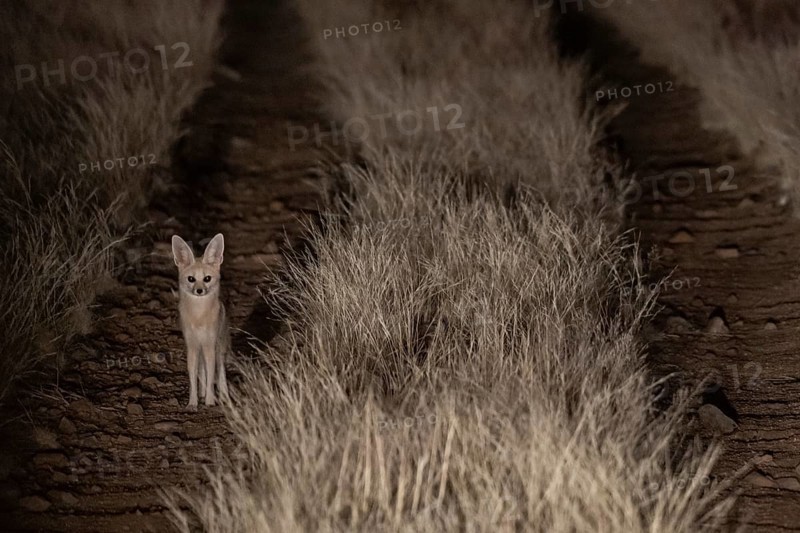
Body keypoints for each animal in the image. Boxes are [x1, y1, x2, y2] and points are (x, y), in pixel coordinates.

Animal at [171, 233, 230, 410]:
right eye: (191, 279)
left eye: (207, 278)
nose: (199, 290)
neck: (199, 316)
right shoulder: (192, 345)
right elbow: (193, 377)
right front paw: (193, 403)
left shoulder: (209, 345)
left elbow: (212, 376)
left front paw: (210, 401)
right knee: (202, 371)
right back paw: (203, 394)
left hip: (219, 348)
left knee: (220, 371)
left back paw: (223, 395)